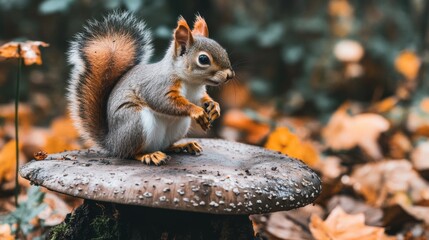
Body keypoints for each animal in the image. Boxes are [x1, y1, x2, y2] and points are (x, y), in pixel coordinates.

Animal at [67, 11, 234, 165]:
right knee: (130, 153)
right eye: (203, 59)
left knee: (165, 146)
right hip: (136, 123)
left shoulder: (197, 93)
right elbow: (163, 101)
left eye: (224, 51)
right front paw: (197, 111)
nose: (230, 75)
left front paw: (214, 107)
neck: (191, 82)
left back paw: (183, 145)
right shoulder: (158, 85)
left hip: (178, 128)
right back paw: (149, 155)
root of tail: (112, 143)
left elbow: (203, 100)